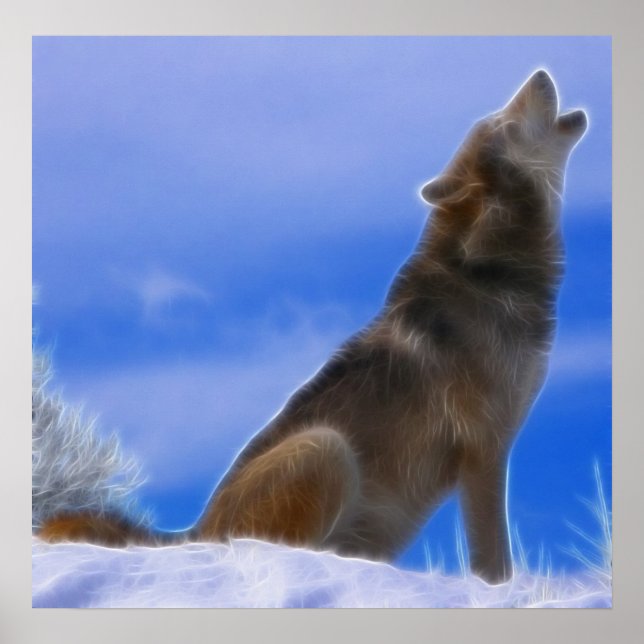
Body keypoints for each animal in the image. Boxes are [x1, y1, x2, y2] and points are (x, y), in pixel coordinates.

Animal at [39, 70, 587, 584]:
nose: (540, 73)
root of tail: (196, 531)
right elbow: (493, 555)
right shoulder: (484, 451)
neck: (492, 269)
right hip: (325, 448)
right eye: (504, 123)